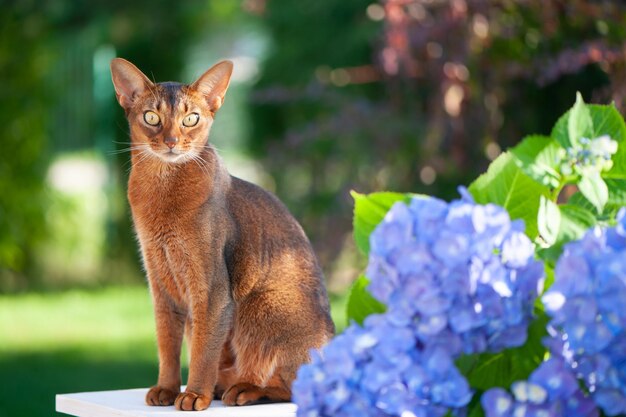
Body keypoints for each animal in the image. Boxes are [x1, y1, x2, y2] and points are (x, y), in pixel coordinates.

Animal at [111, 57, 336, 410]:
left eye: (191, 119)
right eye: (151, 117)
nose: (172, 141)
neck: (161, 191)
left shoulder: (211, 289)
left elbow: (203, 350)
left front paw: (194, 394)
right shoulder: (160, 284)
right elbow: (167, 343)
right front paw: (166, 388)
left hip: (261, 304)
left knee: (294, 385)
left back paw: (244, 389)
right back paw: (224, 383)